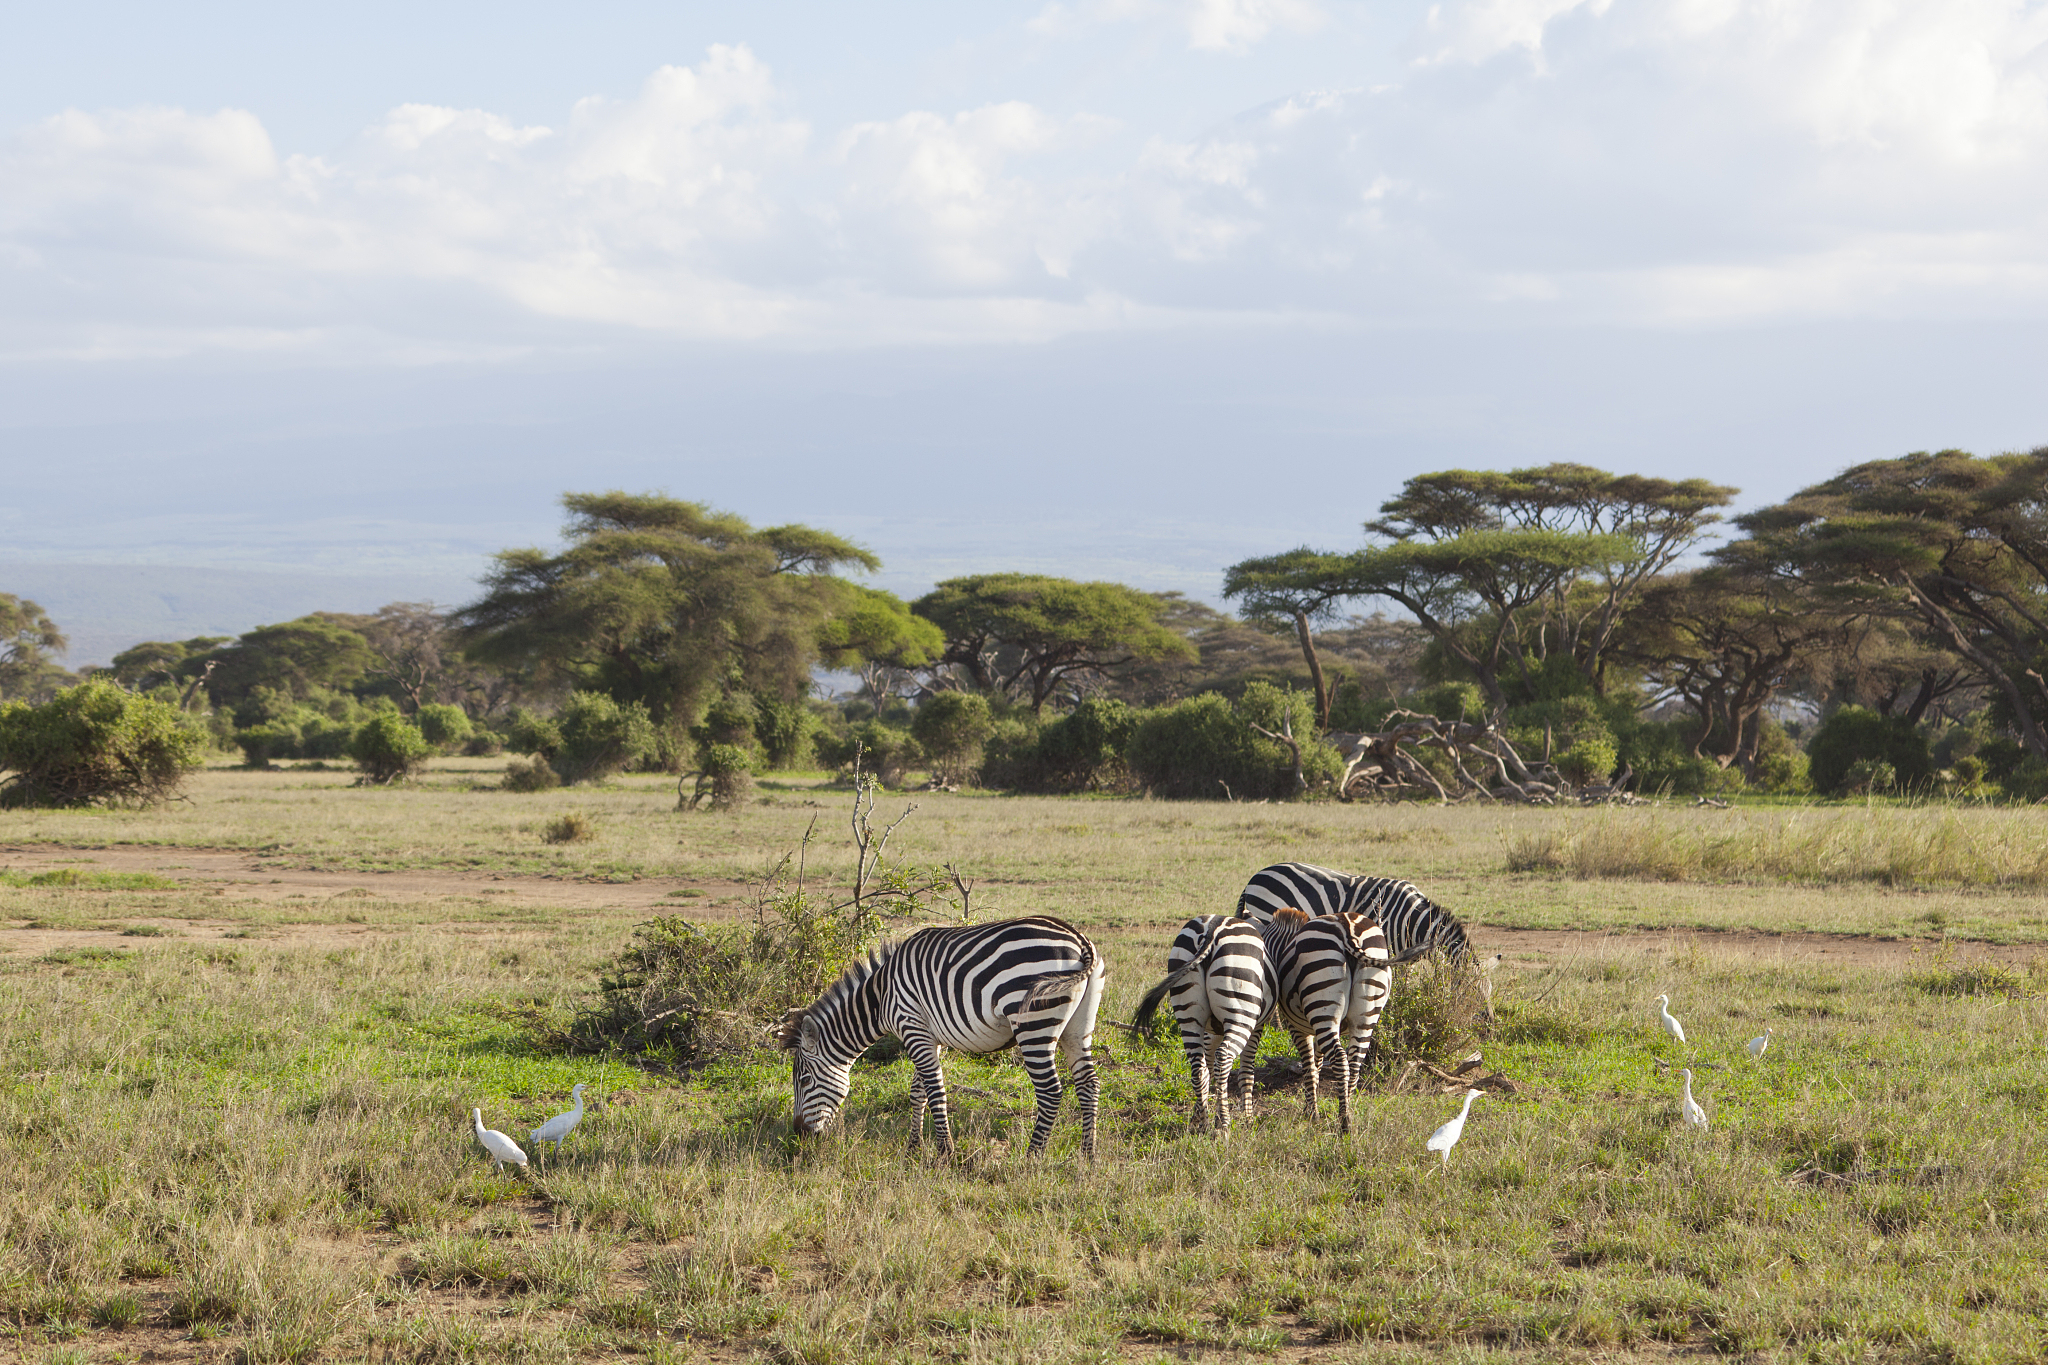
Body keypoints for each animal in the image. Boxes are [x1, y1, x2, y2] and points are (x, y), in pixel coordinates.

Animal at [774, 915, 1107, 1158]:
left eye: (804, 1080)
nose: (799, 1134)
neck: (880, 997)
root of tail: (1079, 940)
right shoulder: (929, 1035)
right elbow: (917, 1091)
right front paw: (914, 1148)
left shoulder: (911, 1026)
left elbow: (935, 1091)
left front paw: (944, 1152)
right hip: (1079, 1026)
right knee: (1088, 1083)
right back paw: (1087, 1156)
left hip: (1033, 1023)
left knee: (1050, 1091)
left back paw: (1032, 1157)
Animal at [1132, 915, 1268, 1136]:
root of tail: (1211, 929)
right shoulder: (1257, 1025)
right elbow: (1246, 1071)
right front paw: (1247, 1118)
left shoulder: (1212, 1030)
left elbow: (1208, 1070)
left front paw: (1199, 1115)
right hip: (1241, 1012)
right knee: (1223, 1058)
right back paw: (1224, 1125)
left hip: (1188, 1010)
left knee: (1198, 1067)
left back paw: (1204, 1125)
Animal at [1259, 906, 1395, 1136]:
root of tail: (1348, 927)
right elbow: (1318, 1062)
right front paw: (1311, 1107)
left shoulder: (1298, 1028)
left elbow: (1309, 1066)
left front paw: (1311, 1113)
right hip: (1365, 1014)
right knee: (1354, 1063)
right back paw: (1348, 1109)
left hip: (1322, 1000)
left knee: (1340, 1060)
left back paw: (1344, 1122)